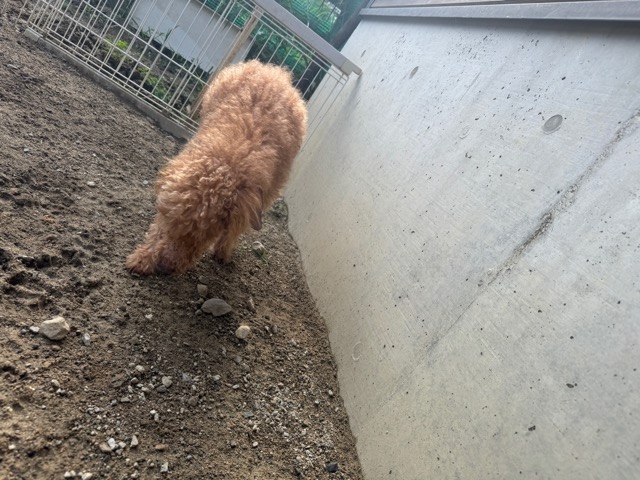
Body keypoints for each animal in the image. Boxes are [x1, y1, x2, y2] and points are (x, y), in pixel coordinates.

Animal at [126, 60, 308, 275]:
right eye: (167, 220)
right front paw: (141, 259)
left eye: (203, 233)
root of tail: (274, 72)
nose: (164, 267)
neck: (231, 157)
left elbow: (237, 228)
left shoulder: (262, 194)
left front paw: (223, 254)